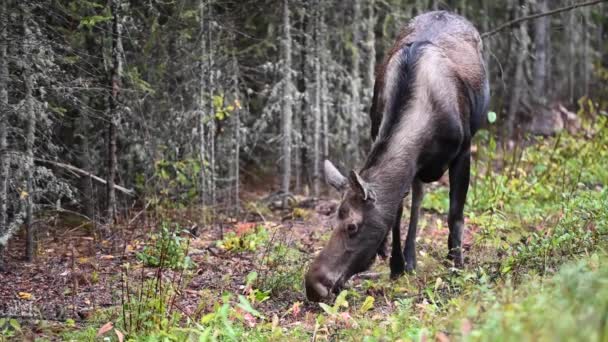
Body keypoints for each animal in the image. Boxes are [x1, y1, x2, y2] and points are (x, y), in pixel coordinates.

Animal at [304, 10, 490, 300]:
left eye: (352, 226)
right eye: (334, 219)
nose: (313, 285)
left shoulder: (463, 149)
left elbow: (455, 214)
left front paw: (456, 264)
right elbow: (397, 213)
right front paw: (397, 265)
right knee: (417, 197)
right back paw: (409, 258)